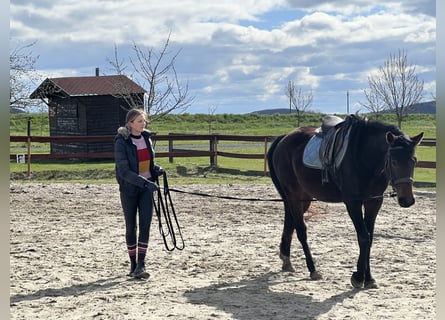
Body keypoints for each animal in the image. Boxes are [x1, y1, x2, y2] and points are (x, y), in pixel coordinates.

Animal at [268, 114, 424, 288]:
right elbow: (363, 237)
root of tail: (285, 138)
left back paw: (286, 259)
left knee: (290, 222)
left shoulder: (374, 202)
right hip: (294, 195)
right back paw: (312, 269)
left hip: (302, 197)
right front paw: (359, 277)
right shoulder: (353, 203)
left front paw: (368, 278)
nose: (407, 200)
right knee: (301, 229)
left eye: (414, 160)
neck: (363, 156)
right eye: (394, 161)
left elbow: (369, 237)